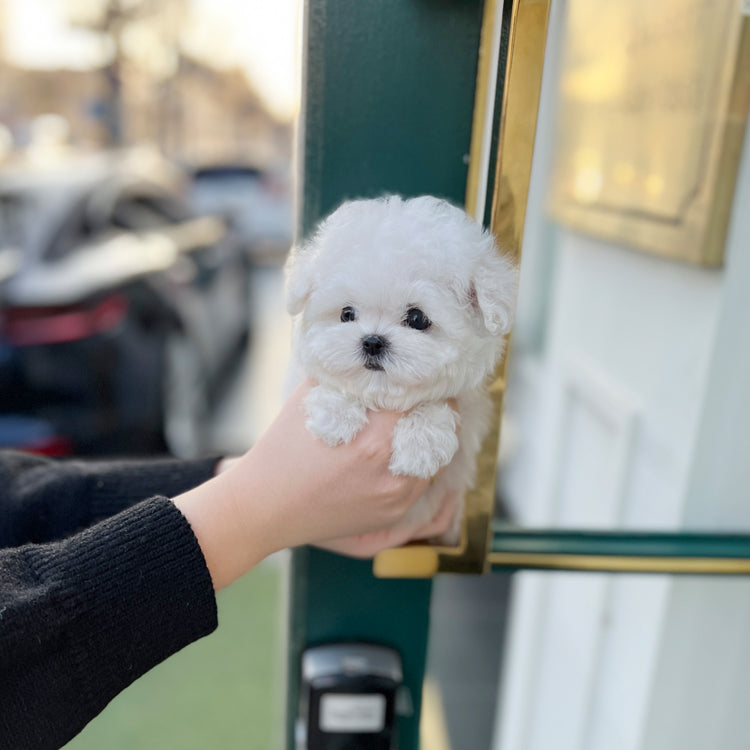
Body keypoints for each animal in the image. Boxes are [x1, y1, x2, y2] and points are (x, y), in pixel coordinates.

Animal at [284, 197, 516, 544]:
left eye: (417, 318)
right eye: (346, 313)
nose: (372, 342)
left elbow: (437, 406)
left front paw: (421, 443)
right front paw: (336, 416)